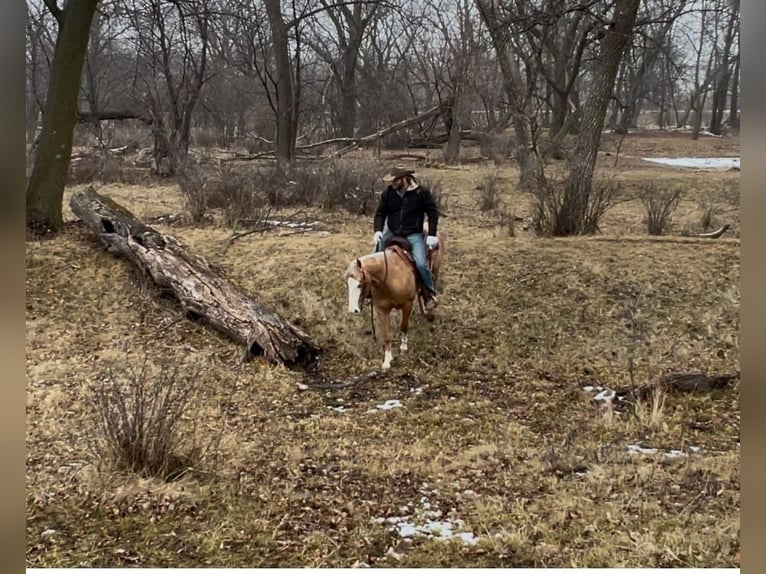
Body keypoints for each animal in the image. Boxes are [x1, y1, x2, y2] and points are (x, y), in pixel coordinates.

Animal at [346, 232, 448, 372]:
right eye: (347, 284)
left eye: (359, 284)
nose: (353, 310)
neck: (390, 277)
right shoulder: (382, 310)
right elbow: (387, 335)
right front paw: (387, 360)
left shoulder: (407, 304)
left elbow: (404, 326)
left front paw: (403, 346)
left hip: (435, 271)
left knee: (430, 285)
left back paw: (429, 304)